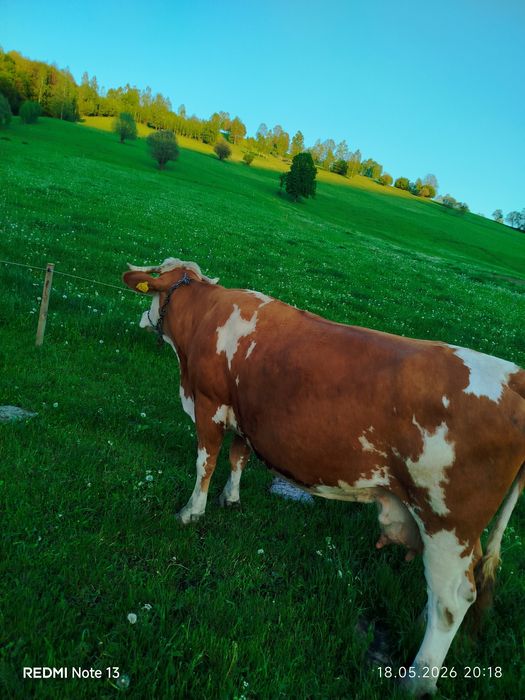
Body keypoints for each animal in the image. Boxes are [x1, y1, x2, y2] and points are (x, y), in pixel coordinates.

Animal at [123, 257, 525, 696]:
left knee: (453, 600)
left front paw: (191, 513)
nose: (142, 321)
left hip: (447, 521)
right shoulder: (247, 415)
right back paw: (419, 623)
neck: (208, 312)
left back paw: (417, 679)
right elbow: (237, 457)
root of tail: (514, 377)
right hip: (458, 532)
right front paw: (231, 498)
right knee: (447, 589)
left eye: (153, 291)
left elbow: (206, 463)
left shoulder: (209, 405)